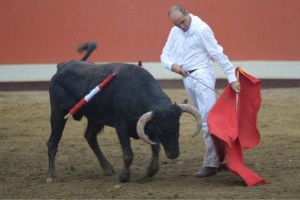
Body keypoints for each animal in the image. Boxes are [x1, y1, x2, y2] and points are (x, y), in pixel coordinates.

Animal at [47, 42, 202, 183]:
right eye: (161, 131)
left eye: (178, 127)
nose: (173, 154)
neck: (135, 92)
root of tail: (63, 67)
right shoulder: (122, 126)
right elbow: (128, 153)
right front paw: (124, 177)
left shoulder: (148, 125)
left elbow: (155, 147)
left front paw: (149, 172)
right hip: (58, 113)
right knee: (53, 142)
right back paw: (51, 175)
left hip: (95, 118)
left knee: (90, 137)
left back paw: (107, 168)